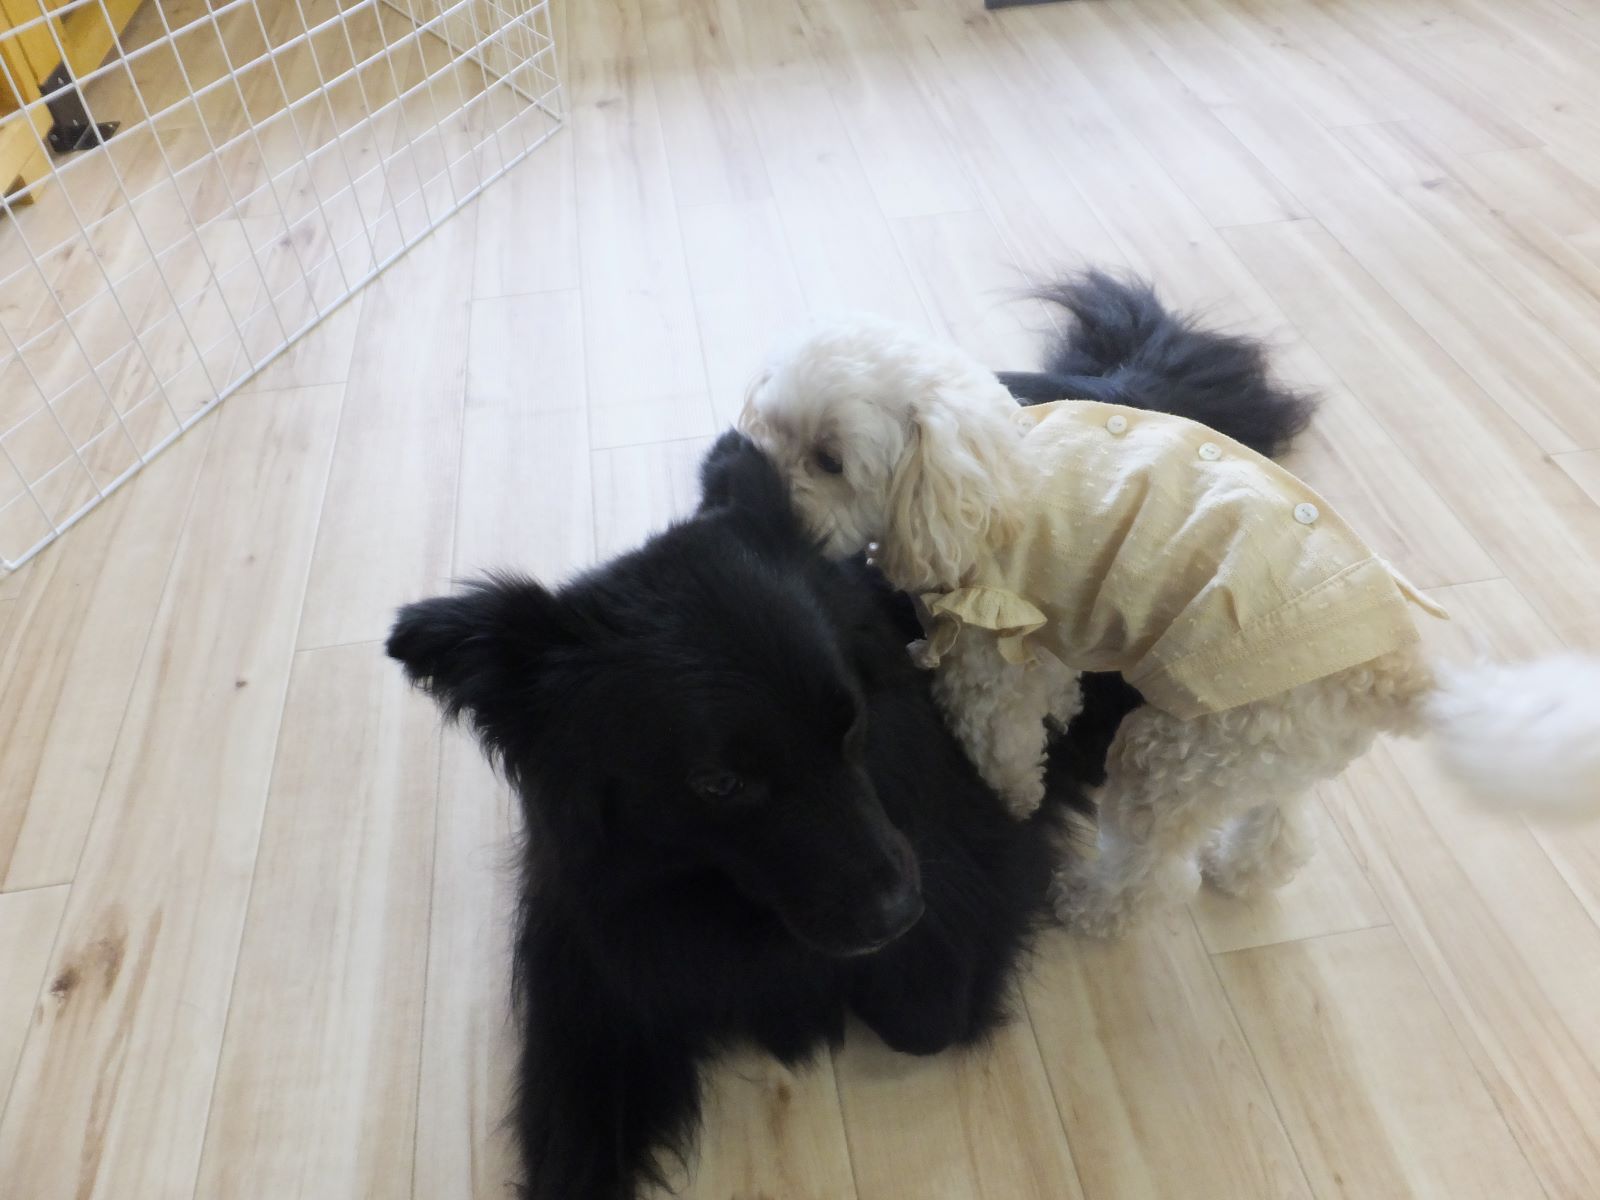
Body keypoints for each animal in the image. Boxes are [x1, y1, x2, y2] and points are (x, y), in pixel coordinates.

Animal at [740, 272, 1600, 937]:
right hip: (1270, 747)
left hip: (1178, 750)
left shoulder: (991, 651)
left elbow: (1003, 743)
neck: (971, 479)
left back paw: (1090, 907)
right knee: (1281, 827)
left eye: (829, 461)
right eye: (769, 429)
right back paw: (1239, 871)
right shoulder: (1042, 637)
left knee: (1152, 872)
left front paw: (1010, 802)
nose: (748, 479)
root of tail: (1391, 669)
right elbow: (1051, 687)